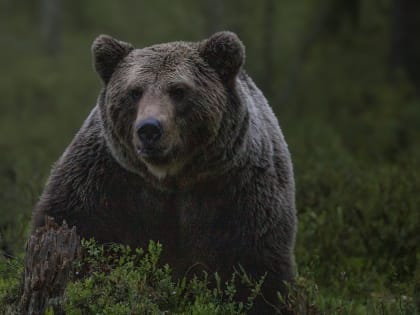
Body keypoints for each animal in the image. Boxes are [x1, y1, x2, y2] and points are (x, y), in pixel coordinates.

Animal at [32, 32, 296, 314]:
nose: (149, 129)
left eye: (178, 90)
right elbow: (75, 224)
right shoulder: (105, 179)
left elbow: (257, 269)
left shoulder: (239, 191)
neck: (171, 177)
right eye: (134, 91)